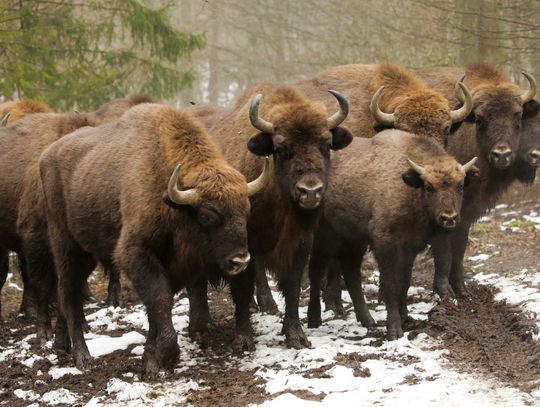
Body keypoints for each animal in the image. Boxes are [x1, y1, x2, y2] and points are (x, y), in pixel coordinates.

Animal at [38, 103, 270, 376]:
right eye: (206, 215)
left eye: (246, 210)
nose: (240, 260)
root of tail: (46, 155)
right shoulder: (137, 254)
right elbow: (159, 299)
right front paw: (167, 355)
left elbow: (155, 309)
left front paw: (151, 359)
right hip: (67, 247)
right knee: (68, 293)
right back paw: (82, 356)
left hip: (87, 253)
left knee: (65, 294)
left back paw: (61, 345)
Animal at [188, 84, 352, 350]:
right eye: (282, 148)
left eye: (326, 144)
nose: (310, 191)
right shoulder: (244, 245)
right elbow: (242, 289)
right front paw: (243, 338)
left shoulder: (300, 243)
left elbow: (293, 287)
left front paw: (295, 335)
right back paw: (201, 326)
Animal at [306, 131, 478, 342]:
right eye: (429, 186)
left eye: (460, 185)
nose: (449, 218)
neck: (410, 190)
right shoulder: (386, 245)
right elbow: (390, 285)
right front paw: (395, 329)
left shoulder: (410, 248)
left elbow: (404, 282)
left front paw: (406, 318)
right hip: (324, 237)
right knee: (316, 271)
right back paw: (314, 319)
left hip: (353, 240)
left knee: (351, 272)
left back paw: (367, 320)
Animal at [414, 65, 536, 298]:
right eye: (480, 119)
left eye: (518, 116)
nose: (502, 154)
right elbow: (443, 250)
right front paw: (445, 293)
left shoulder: (467, 212)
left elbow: (460, 248)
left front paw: (462, 290)